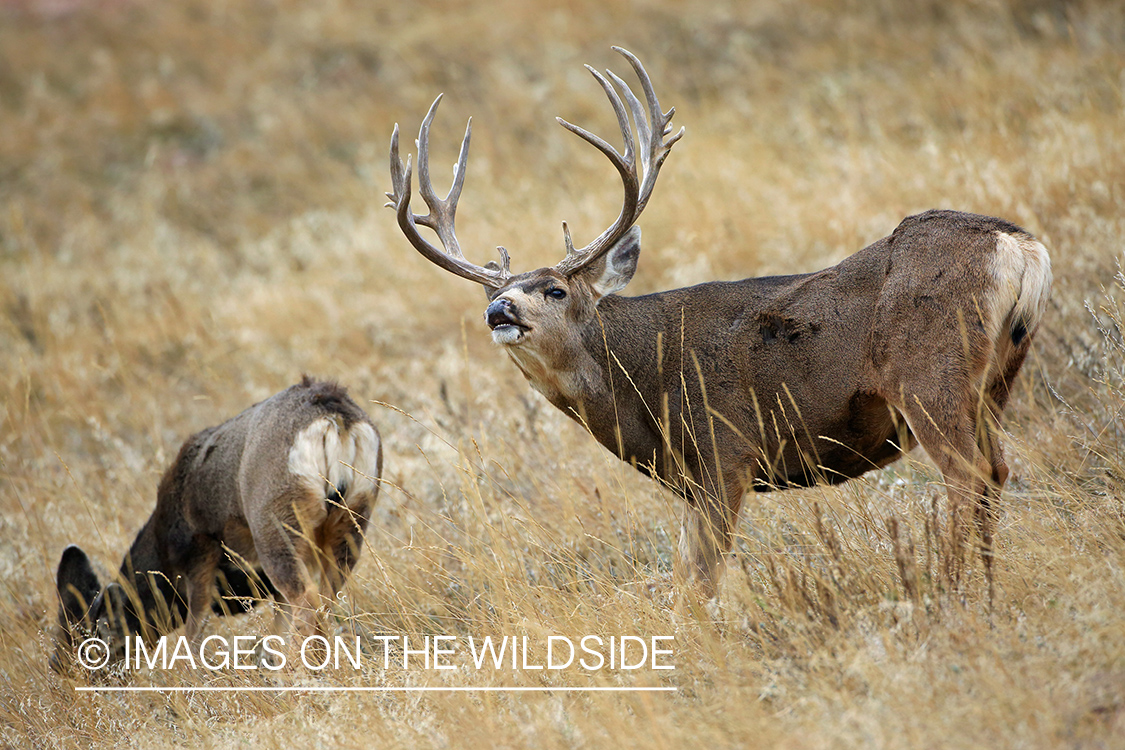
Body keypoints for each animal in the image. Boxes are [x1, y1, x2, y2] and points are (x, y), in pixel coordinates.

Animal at [51, 377, 382, 671]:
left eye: (89, 646)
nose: (64, 672)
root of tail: (334, 417)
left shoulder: (200, 555)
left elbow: (195, 632)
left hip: (277, 521)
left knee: (307, 600)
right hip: (352, 521)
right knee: (325, 601)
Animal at [385, 47, 1052, 607]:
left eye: (555, 288)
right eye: (495, 290)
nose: (499, 309)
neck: (643, 383)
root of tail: (1019, 246)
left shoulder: (725, 452)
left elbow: (699, 583)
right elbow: (687, 575)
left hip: (927, 374)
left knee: (969, 477)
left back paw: (952, 593)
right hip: (995, 382)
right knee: (997, 472)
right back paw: (989, 592)